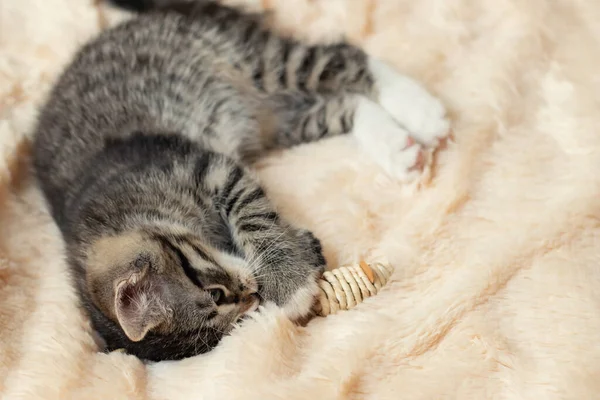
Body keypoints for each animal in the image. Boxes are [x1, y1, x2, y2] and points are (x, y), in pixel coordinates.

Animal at [30, 0, 448, 362]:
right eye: (237, 319)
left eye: (214, 293)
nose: (253, 292)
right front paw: (302, 252)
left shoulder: (205, 165)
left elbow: (252, 214)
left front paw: (287, 279)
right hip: (275, 120)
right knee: (346, 105)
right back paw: (396, 146)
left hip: (252, 59)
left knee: (342, 57)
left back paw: (420, 109)